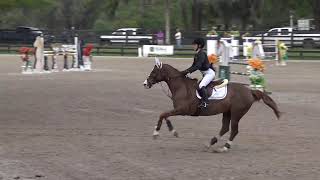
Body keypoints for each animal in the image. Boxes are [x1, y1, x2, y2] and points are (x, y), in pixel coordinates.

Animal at [142, 59, 280, 153]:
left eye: (154, 72)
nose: (145, 84)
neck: (181, 86)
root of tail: (249, 90)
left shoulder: (183, 110)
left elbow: (163, 114)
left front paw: (158, 133)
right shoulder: (178, 110)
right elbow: (165, 115)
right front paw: (171, 131)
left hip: (236, 113)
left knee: (234, 130)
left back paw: (224, 148)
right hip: (227, 112)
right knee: (225, 128)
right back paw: (210, 143)